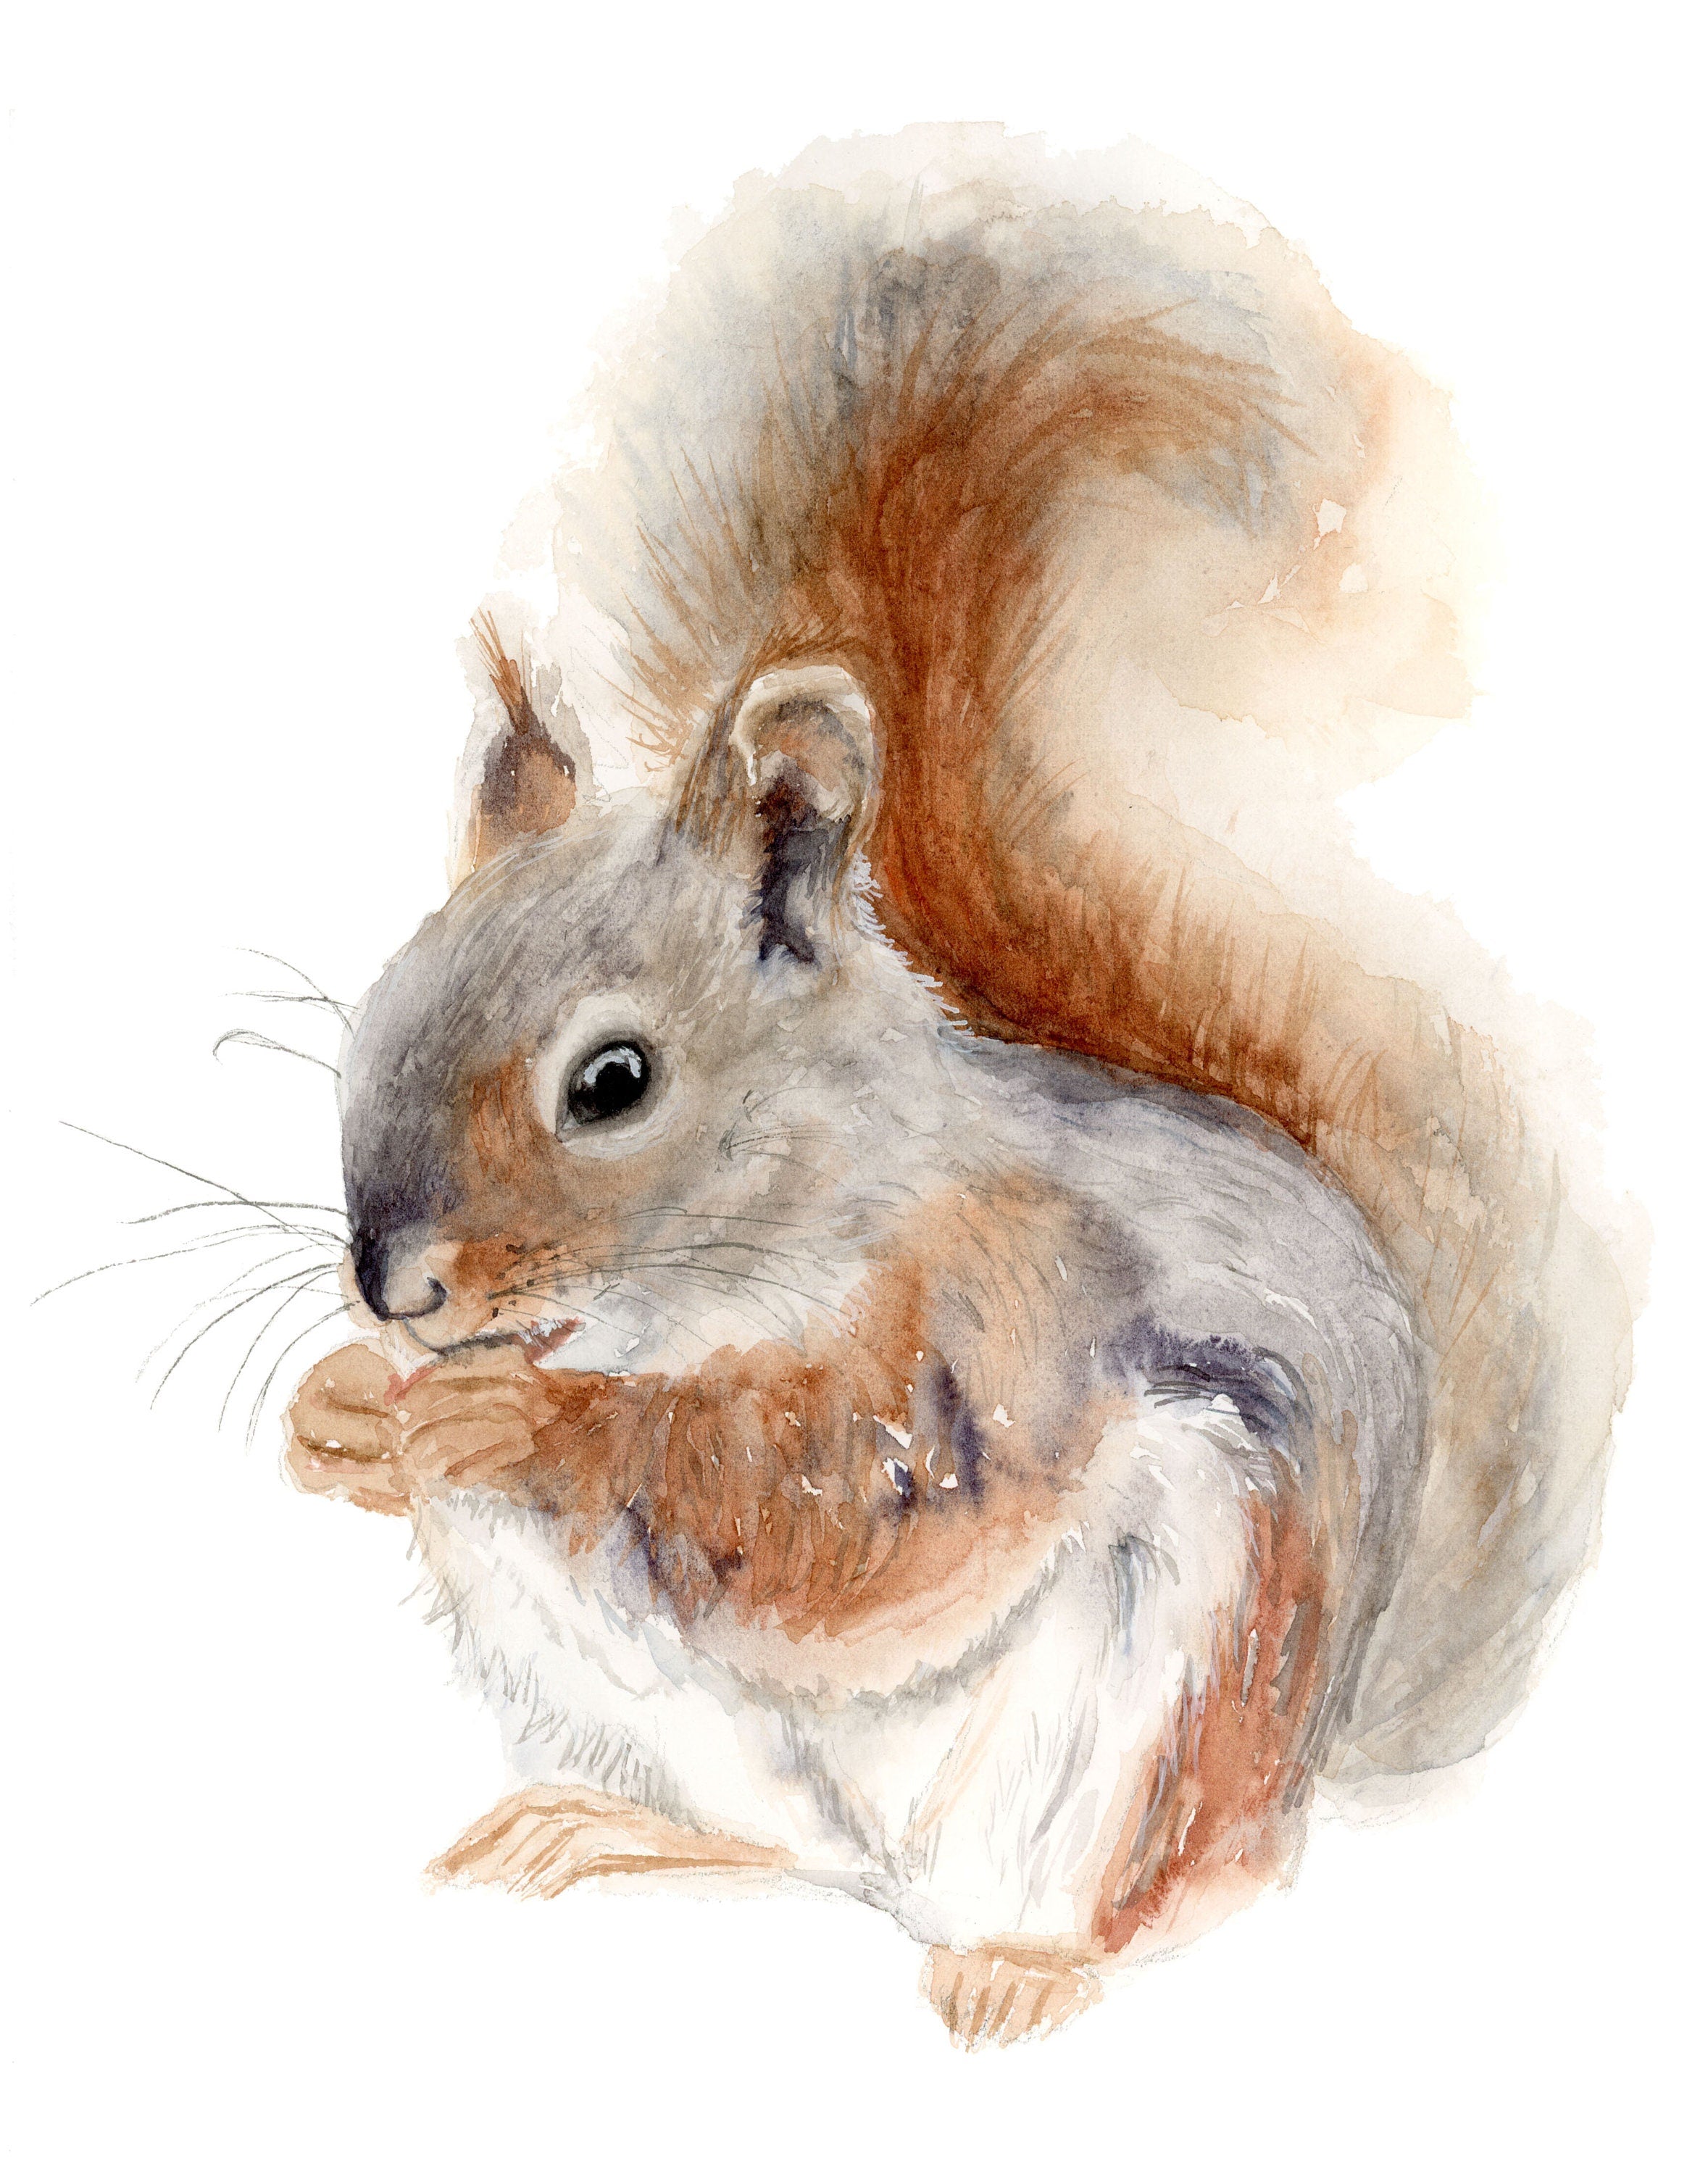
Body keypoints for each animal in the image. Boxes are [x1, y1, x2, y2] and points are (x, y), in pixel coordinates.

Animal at [283, 128, 1633, 2047]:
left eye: (611, 1080)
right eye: (371, 1022)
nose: (391, 1288)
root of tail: (1315, 1758)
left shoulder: (1007, 1308)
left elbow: (843, 1504)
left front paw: (516, 1428)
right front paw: (339, 1412)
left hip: (1184, 1645)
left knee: (1131, 1891)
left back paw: (1028, 1968)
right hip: (680, 1725)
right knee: (787, 1847)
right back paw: (611, 1826)